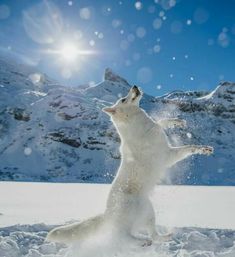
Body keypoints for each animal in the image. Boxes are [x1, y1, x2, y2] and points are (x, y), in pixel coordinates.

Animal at [46, 85, 214, 244]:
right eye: (123, 99)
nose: (134, 86)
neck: (135, 124)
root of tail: (107, 214)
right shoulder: (168, 155)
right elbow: (188, 147)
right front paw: (203, 149)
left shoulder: (157, 129)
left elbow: (161, 122)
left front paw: (178, 122)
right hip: (136, 214)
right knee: (123, 237)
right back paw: (143, 243)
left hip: (149, 211)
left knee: (152, 235)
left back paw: (163, 237)